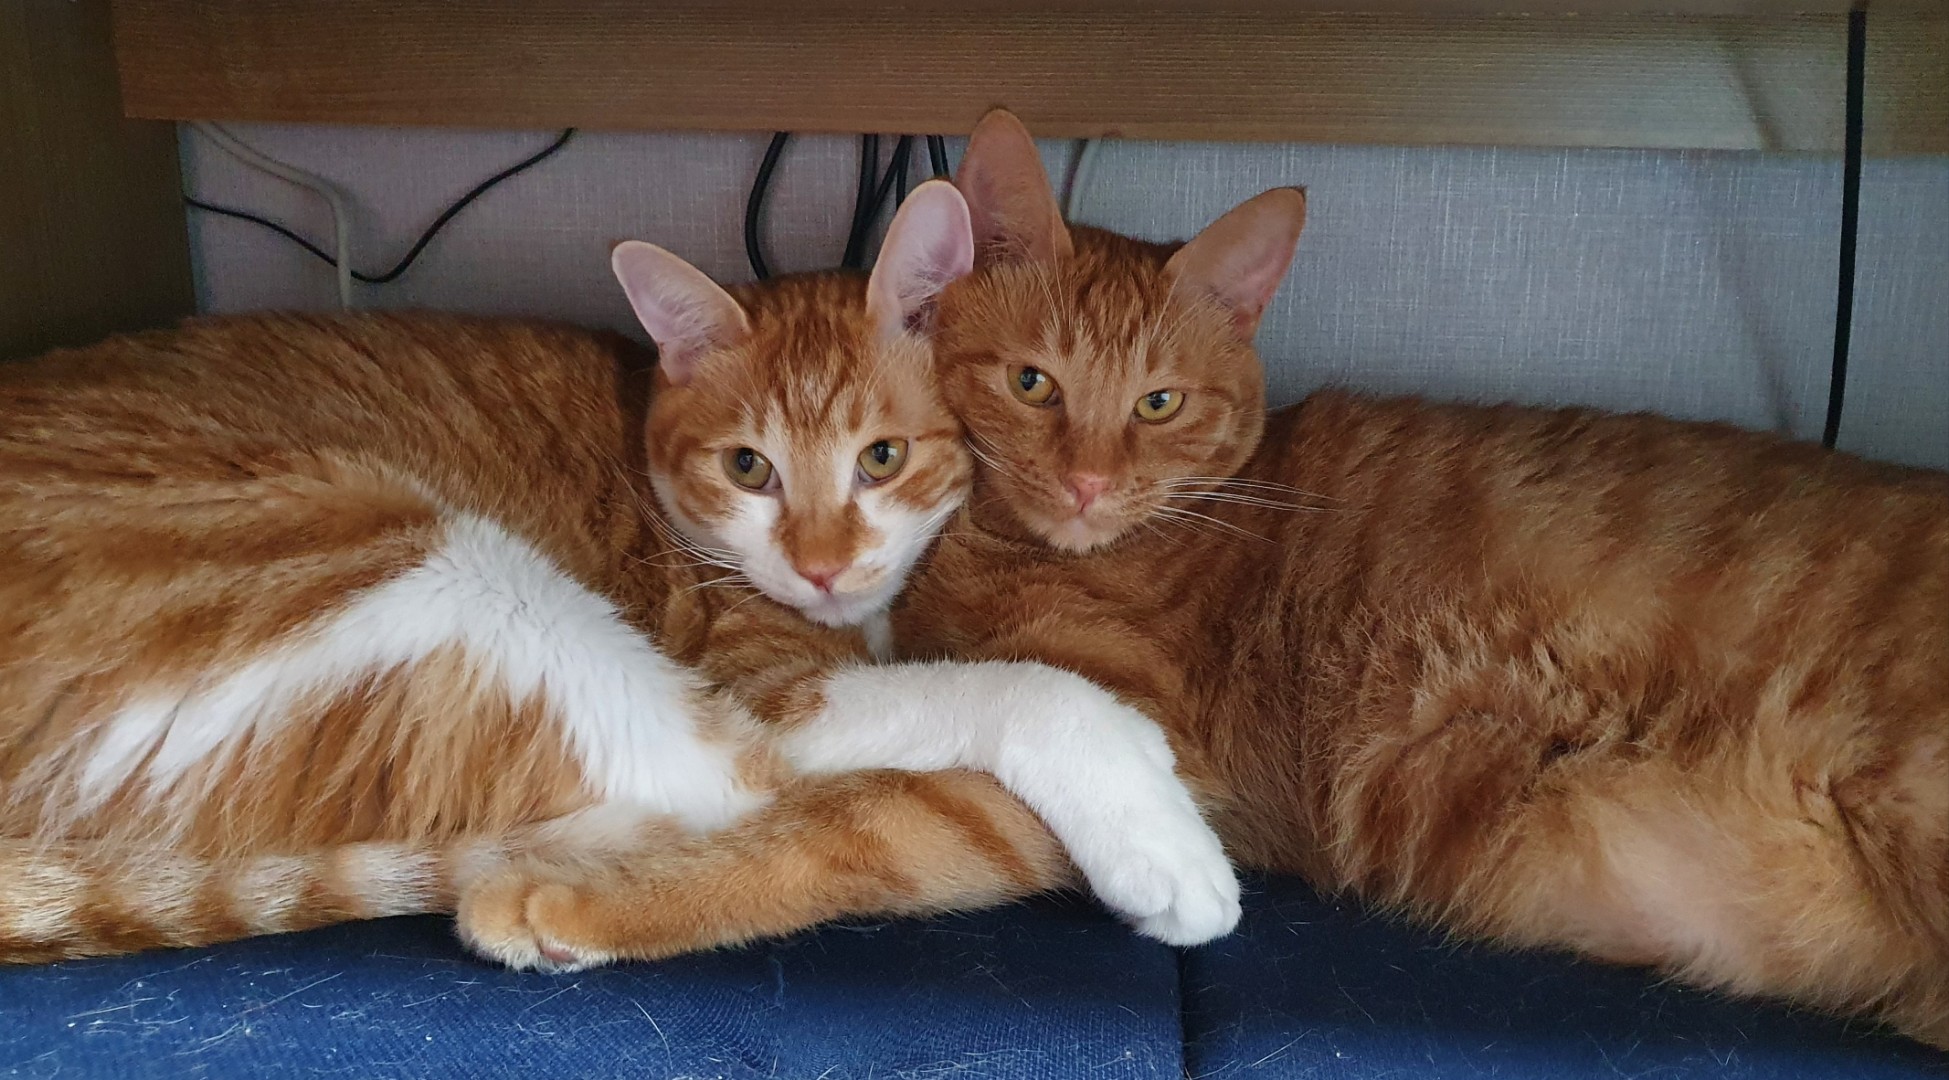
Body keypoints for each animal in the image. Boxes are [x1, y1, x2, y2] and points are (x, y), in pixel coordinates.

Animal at [0, 179, 1237, 966]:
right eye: (748, 469)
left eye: (881, 459)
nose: (822, 568)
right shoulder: (775, 686)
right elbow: (1010, 691)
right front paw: (1150, 812)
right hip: (431, 574)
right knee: (744, 793)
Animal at [449, 112, 1949, 1051]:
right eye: (1032, 383)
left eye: (1158, 404)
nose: (1088, 481)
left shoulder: (1088, 765)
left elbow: (831, 836)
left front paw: (563, 897)